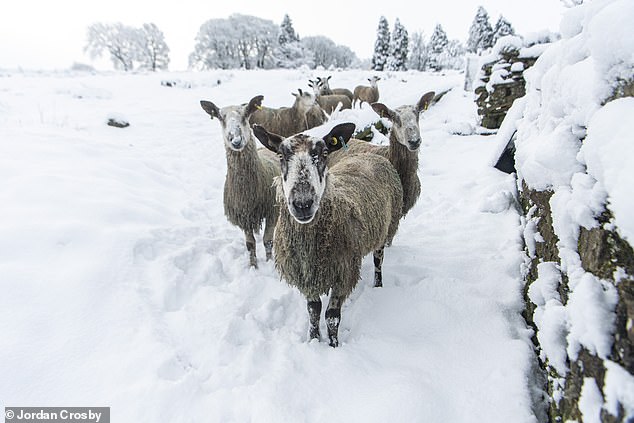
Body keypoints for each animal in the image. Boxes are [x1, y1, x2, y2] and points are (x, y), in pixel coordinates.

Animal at [198, 96, 276, 268]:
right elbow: (251, 244)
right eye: (220, 117)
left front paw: (270, 263)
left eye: (246, 115)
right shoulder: (244, 215)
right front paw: (254, 266)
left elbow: (267, 241)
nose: (236, 140)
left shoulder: (272, 212)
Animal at [251, 121, 400, 348]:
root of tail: (370, 154)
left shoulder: (343, 272)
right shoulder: (307, 274)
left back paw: (378, 285)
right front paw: (313, 339)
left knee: (378, 261)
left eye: (324, 154)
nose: (303, 204)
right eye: (281, 156)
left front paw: (333, 345)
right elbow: (313, 311)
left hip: (385, 230)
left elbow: (332, 316)